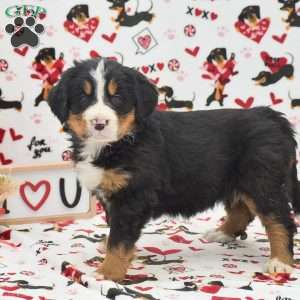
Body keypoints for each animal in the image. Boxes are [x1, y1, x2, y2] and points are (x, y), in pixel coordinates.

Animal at [48, 58, 298, 282]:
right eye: (83, 97)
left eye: (117, 98)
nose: (99, 123)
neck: (114, 145)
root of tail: (272, 117)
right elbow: (116, 232)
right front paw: (110, 250)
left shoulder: (132, 197)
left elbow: (120, 239)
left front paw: (107, 273)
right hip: (234, 179)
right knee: (242, 210)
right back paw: (222, 233)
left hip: (262, 181)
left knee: (280, 219)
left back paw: (280, 262)